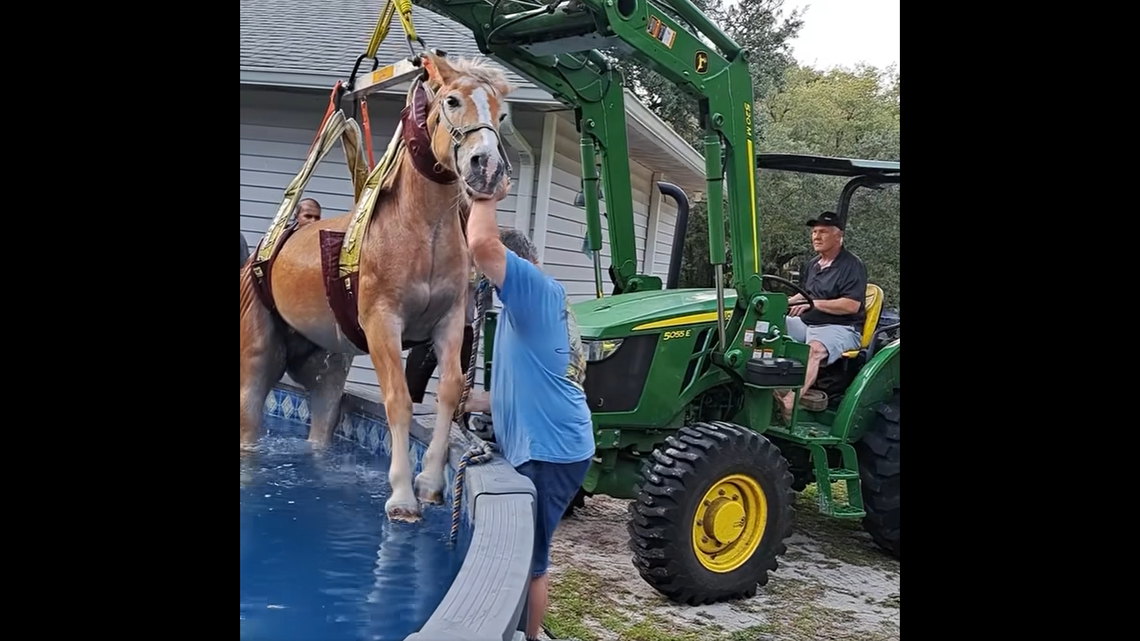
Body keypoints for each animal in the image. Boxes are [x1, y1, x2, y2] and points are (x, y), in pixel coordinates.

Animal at [240, 52, 514, 522]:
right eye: (452, 100)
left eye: (502, 114)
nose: (488, 167)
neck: (419, 229)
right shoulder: (382, 322)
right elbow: (398, 399)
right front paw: (402, 495)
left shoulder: (449, 321)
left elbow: (450, 389)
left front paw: (430, 482)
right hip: (257, 354)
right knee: (251, 412)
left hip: (326, 363)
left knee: (323, 415)